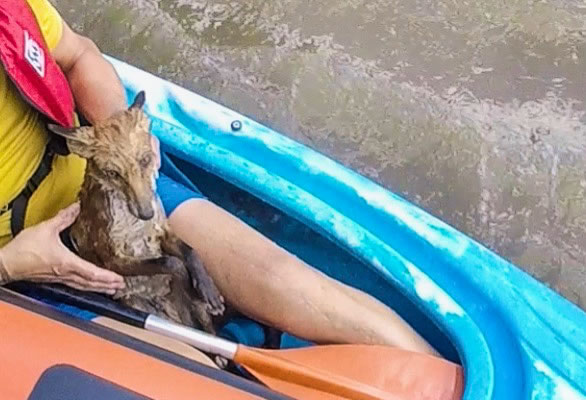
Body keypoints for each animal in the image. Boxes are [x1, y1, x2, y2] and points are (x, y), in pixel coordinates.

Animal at [48, 91, 224, 334]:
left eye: (145, 160)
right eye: (113, 173)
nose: (146, 213)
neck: (135, 228)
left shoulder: (162, 233)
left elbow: (191, 252)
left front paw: (207, 288)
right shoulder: (113, 259)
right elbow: (172, 263)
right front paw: (187, 281)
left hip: (200, 316)